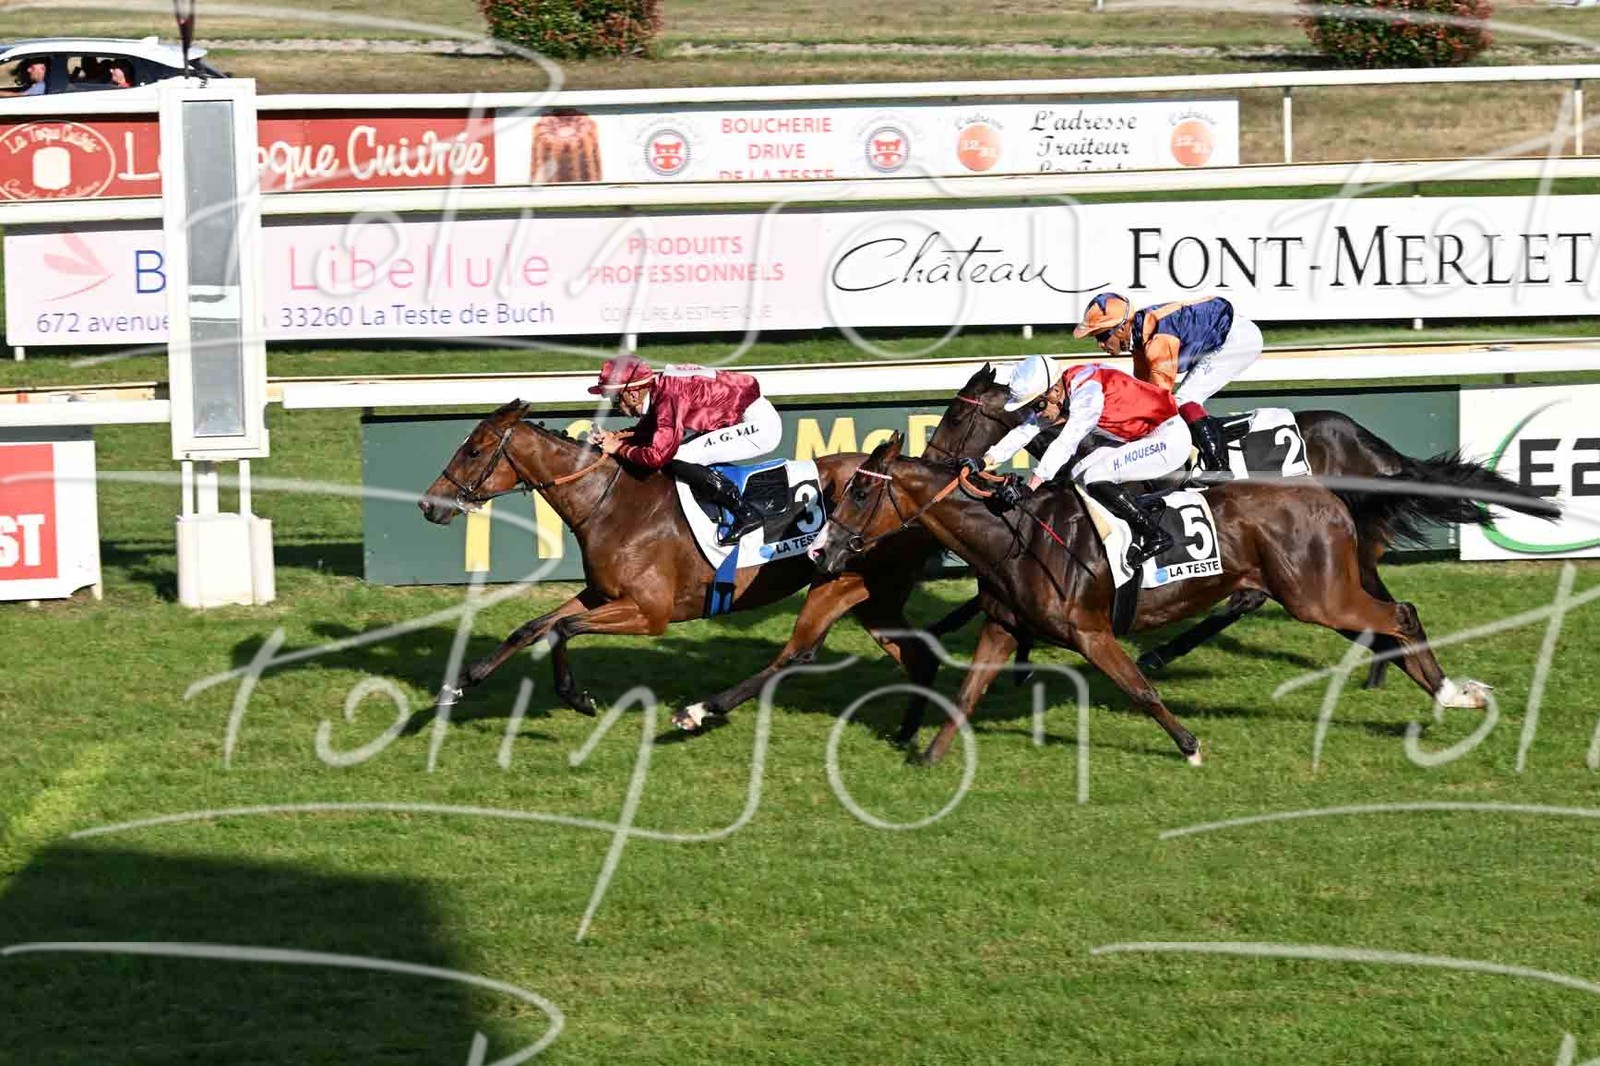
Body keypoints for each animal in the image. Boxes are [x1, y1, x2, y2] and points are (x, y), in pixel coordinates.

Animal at [416, 400, 945, 721]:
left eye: (474, 450)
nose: (428, 504)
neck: (611, 504)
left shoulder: (649, 612)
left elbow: (561, 630)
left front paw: (577, 697)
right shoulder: (601, 593)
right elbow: (529, 628)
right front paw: (457, 685)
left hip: (841, 579)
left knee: (799, 652)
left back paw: (701, 711)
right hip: (876, 598)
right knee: (918, 656)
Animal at [813, 431, 1556, 765]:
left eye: (859, 494)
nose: (823, 551)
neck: (1012, 536)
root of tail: (1328, 491)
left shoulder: (1090, 631)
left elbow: (1139, 688)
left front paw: (1190, 745)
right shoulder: (1003, 626)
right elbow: (966, 696)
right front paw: (928, 756)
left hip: (1319, 596)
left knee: (1399, 616)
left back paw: (1453, 693)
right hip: (1320, 590)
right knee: (1393, 627)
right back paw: (1451, 694)